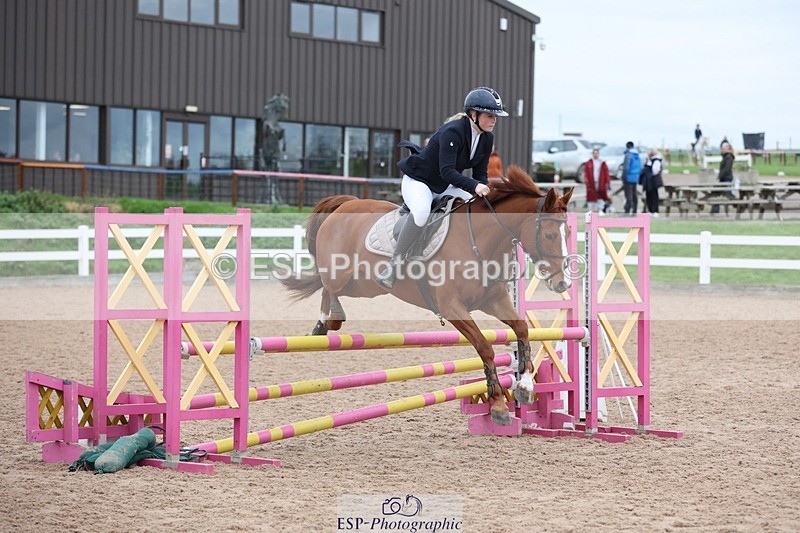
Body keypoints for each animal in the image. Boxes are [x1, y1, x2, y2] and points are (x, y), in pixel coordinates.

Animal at [282, 166, 574, 426]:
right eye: (549, 235)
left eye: (568, 233)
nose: (563, 284)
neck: (479, 240)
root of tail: (347, 203)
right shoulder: (453, 308)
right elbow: (485, 347)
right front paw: (500, 405)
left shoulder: (494, 301)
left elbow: (522, 329)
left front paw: (525, 386)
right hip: (343, 274)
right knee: (327, 284)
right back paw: (326, 322)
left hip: (364, 286)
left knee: (331, 288)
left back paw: (327, 323)